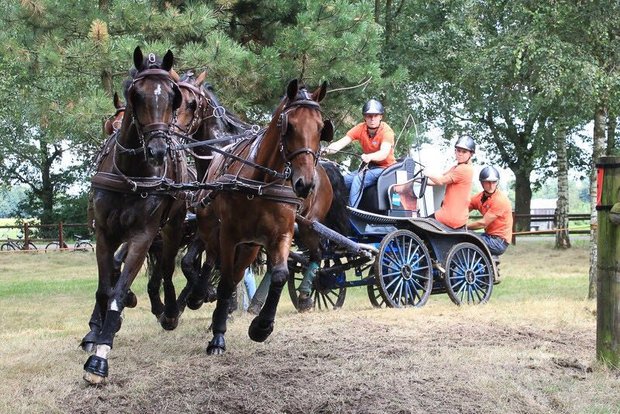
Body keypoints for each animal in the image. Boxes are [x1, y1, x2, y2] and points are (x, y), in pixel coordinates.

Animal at [82, 47, 189, 384]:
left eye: (173, 96)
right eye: (136, 96)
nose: (158, 151)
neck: (130, 173)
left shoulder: (143, 235)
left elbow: (118, 290)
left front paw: (99, 358)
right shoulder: (104, 233)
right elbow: (106, 289)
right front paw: (98, 334)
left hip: (173, 227)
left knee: (166, 268)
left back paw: (169, 310)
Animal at [197, 79, 334, 354]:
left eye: (320, 128)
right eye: (289, 125)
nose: (305, 184)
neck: (261, 182)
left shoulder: (281, 234)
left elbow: (280, 274)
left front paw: (261, 327)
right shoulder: (229, 235)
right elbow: (225, 280)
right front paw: (218, 337)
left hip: (286, 234)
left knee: (314, 255)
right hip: (217, 231)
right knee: (213, 262)